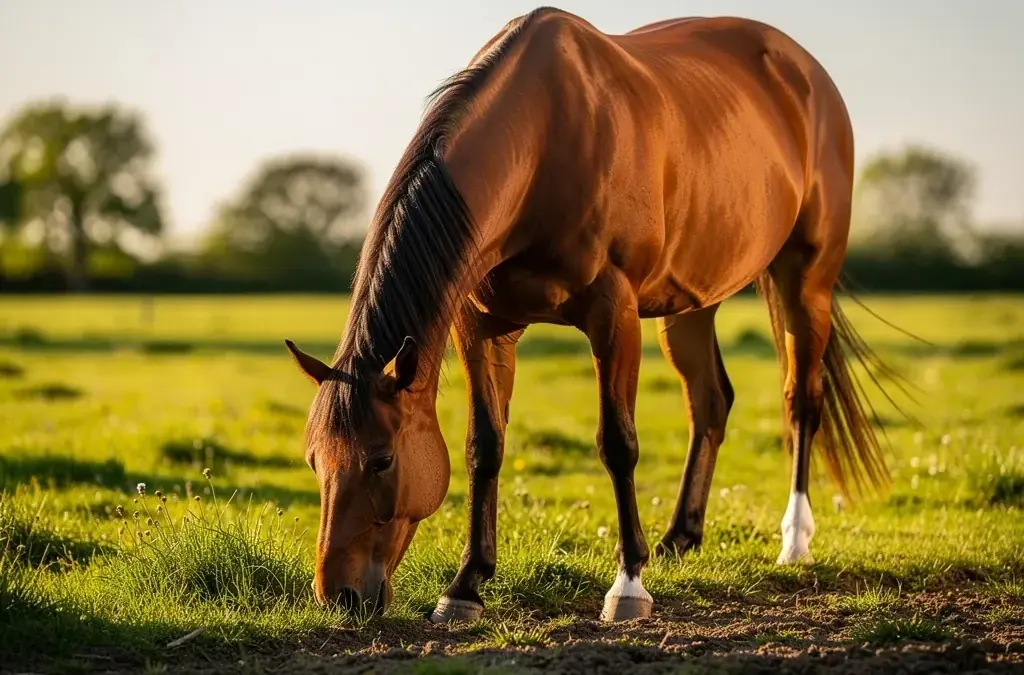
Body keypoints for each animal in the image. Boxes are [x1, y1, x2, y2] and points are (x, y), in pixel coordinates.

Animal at [284, 6, 894, 623]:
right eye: (315, 461)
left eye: (382, 460)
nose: (337, 595)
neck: (543, 141)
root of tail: (808, 75)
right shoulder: (482, 328)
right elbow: (485, 446)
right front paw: (465, 586)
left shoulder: (613, 315)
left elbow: (618, 444)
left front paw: (628, 586)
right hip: (692, 302)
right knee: (710, 401)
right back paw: (680, 537)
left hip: (805, 280)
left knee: (802, 401)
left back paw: (793, 541)